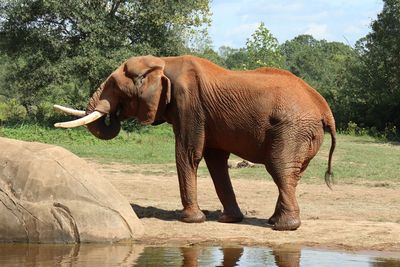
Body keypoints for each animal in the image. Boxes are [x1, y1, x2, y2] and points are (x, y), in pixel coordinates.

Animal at [54, 55, 334, 231]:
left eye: (113, 85)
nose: (114, 115)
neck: (165, 62)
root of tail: (324, 109)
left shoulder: (189, 104)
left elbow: (188, 153)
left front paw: (190, 220)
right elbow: (215, 160)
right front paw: (227, 220)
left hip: (292, 128)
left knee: (279, 168)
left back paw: (283, 227)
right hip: (303, 134)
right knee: (292, 173)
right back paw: (274, 221)